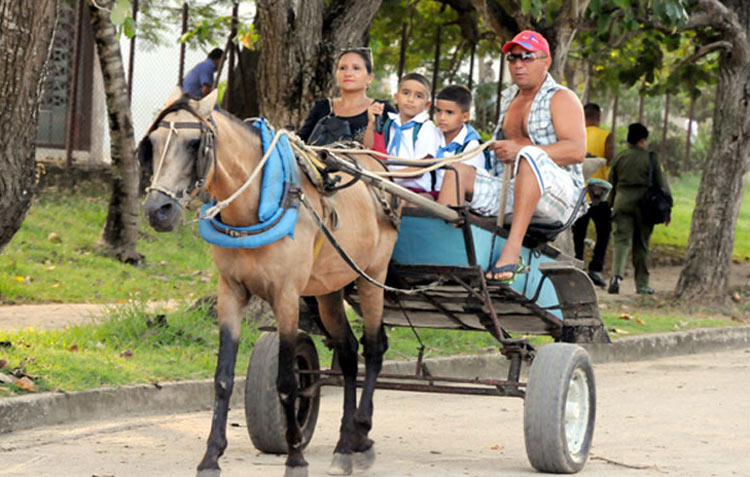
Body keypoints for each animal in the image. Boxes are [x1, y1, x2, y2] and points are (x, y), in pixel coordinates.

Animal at [139, 87, 402, 474]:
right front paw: (211, 456)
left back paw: (361, 432)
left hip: (373, 277)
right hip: (328, 290)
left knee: (373, 349)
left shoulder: (287, 295)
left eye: (193, 143)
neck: (255, 206)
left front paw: (295, 456)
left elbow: (287, 379)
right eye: (153, 144)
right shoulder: (231, 292)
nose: (157, 210)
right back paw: (344, 443)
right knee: (349, 353)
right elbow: (223, 378)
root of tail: (378, 171)